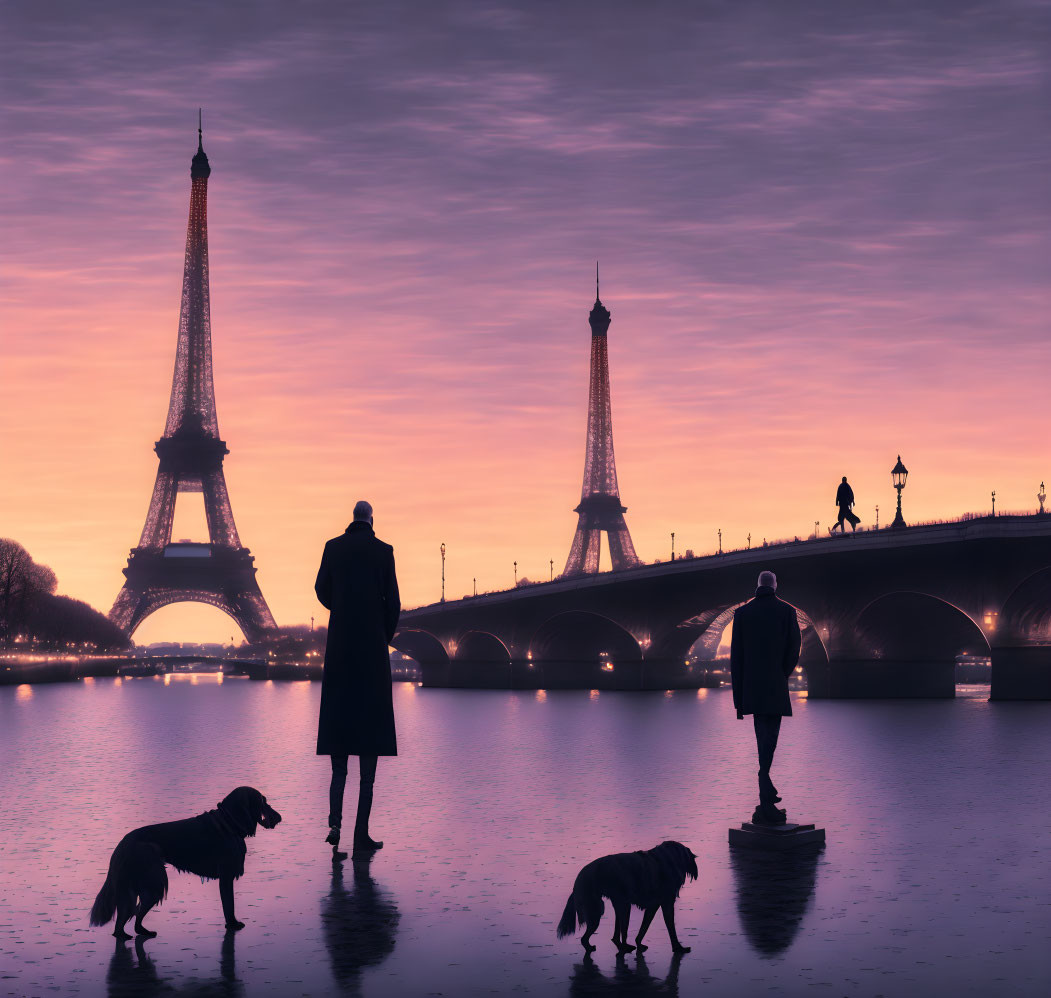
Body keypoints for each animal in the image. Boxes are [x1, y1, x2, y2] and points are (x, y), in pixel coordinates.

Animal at [88, 785, 281, 941]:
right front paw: (232, 924)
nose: (279, 817)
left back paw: (136, 933)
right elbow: (229, 905)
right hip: (155, 883)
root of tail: (123, 843)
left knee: (125, 920)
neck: (228, 822)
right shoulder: (226, 877)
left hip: (135, 887)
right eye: (262, 801)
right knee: (133, 915)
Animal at [559, 840, 697, 958]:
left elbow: (644, 928)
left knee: (615, 935)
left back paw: (621, 946)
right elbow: (670, 927)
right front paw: (678, 948)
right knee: (588, 937)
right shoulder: (665, 903)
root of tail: (580, 877)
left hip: (619, 904)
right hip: (601, 909)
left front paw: (639, 943)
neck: (666, 859)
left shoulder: (653, 906)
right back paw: (612, 947)